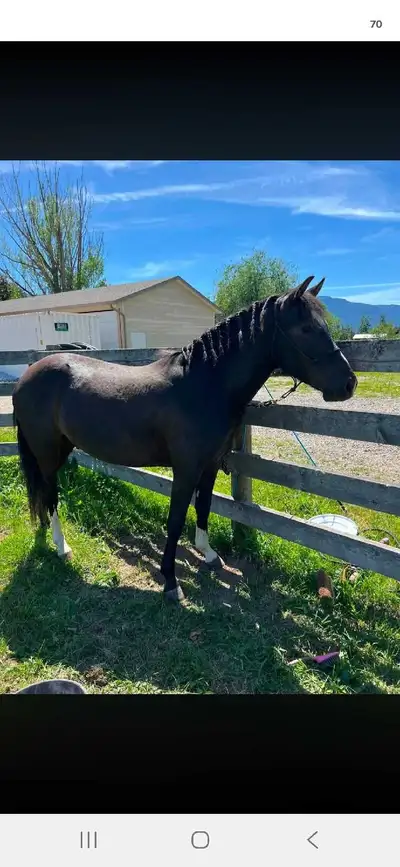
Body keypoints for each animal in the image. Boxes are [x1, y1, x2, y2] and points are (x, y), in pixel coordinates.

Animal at [12, 276, 357, 602]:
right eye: (306, 328)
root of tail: (26, 376)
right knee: (51, 494)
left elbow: (203, 507)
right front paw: (171, 582)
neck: (203, 384)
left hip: (61, 448)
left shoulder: (211, 465)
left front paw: (209, 554)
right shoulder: (186, 469)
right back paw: (62, 546)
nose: (349, 383)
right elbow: (176, 519)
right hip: (47, 453)